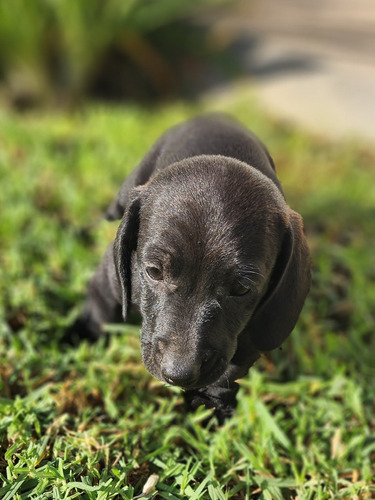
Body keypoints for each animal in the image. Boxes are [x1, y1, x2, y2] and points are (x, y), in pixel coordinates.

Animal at [71, 114, 312, 422]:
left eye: (242, 289)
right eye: (153, 272)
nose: (179, 374)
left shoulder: (247, 337)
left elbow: (228, 372)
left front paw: (211, 407)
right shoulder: (109, 282)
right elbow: (100, 312)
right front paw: (81, 338)